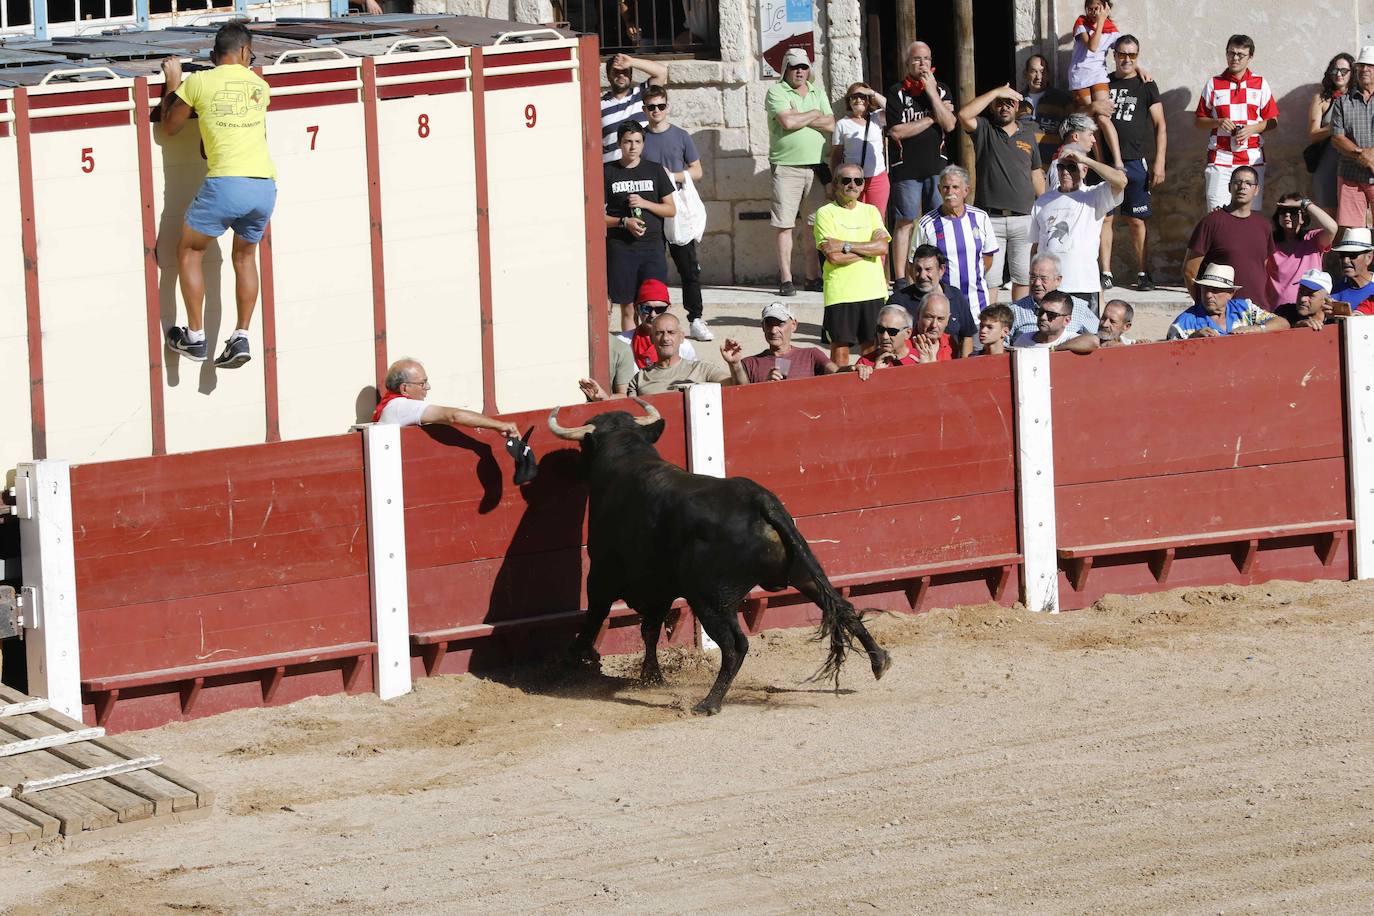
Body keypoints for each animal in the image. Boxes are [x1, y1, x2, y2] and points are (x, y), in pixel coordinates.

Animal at [546, 398, 890, 714]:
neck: (627, 454)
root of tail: (761, 502)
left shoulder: (601, 577)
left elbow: (594, 618)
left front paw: (573, 659)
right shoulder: (660, 589)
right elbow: (650, 630)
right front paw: (651, 677)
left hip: (712, 599)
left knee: (735, 645)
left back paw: (709, 702)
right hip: (805, 574)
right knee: (843, 607)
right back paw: (879, 662)